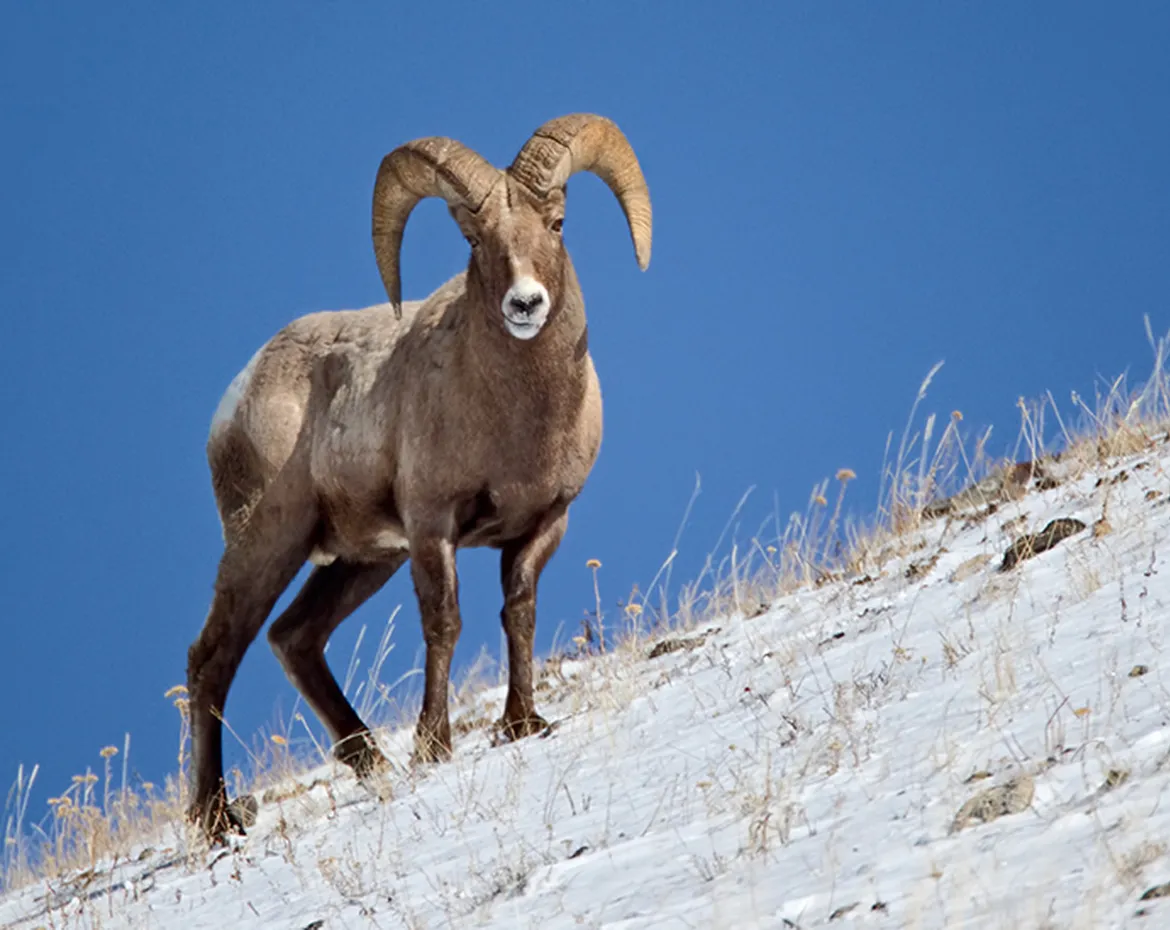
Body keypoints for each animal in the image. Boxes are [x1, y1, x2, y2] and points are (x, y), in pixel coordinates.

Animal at [185, 113, 652, 838]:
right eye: (475, 238)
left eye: (557, 223)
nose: (525, 304)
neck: (516, 416)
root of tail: (237, 394)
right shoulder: (434, 528)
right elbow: (444, 623)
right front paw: (435, 746)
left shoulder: (542, 526)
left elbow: (519, 612)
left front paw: (523, 723)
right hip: (268, 545)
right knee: (211, 661)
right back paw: (216, 820)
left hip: (360, 561)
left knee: (294, 638)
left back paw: (370, 761)